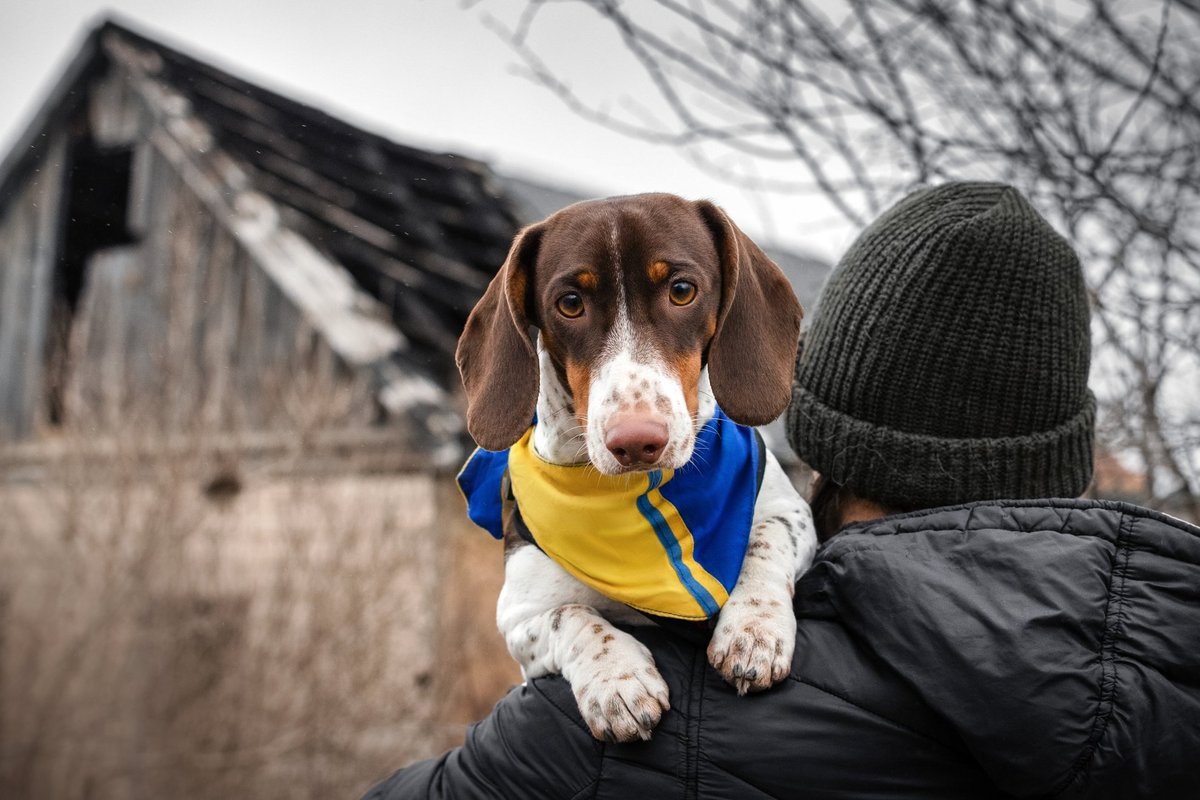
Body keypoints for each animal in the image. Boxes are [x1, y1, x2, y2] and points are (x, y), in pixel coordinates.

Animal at [451, 194, 816, 743]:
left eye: (681, 290)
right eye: (570, 303)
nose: (636, 441)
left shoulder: (789, 511)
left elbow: (765, 542)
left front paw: (753, 629)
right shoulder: (519, 614)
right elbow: (573, 616)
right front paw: (616, 681)